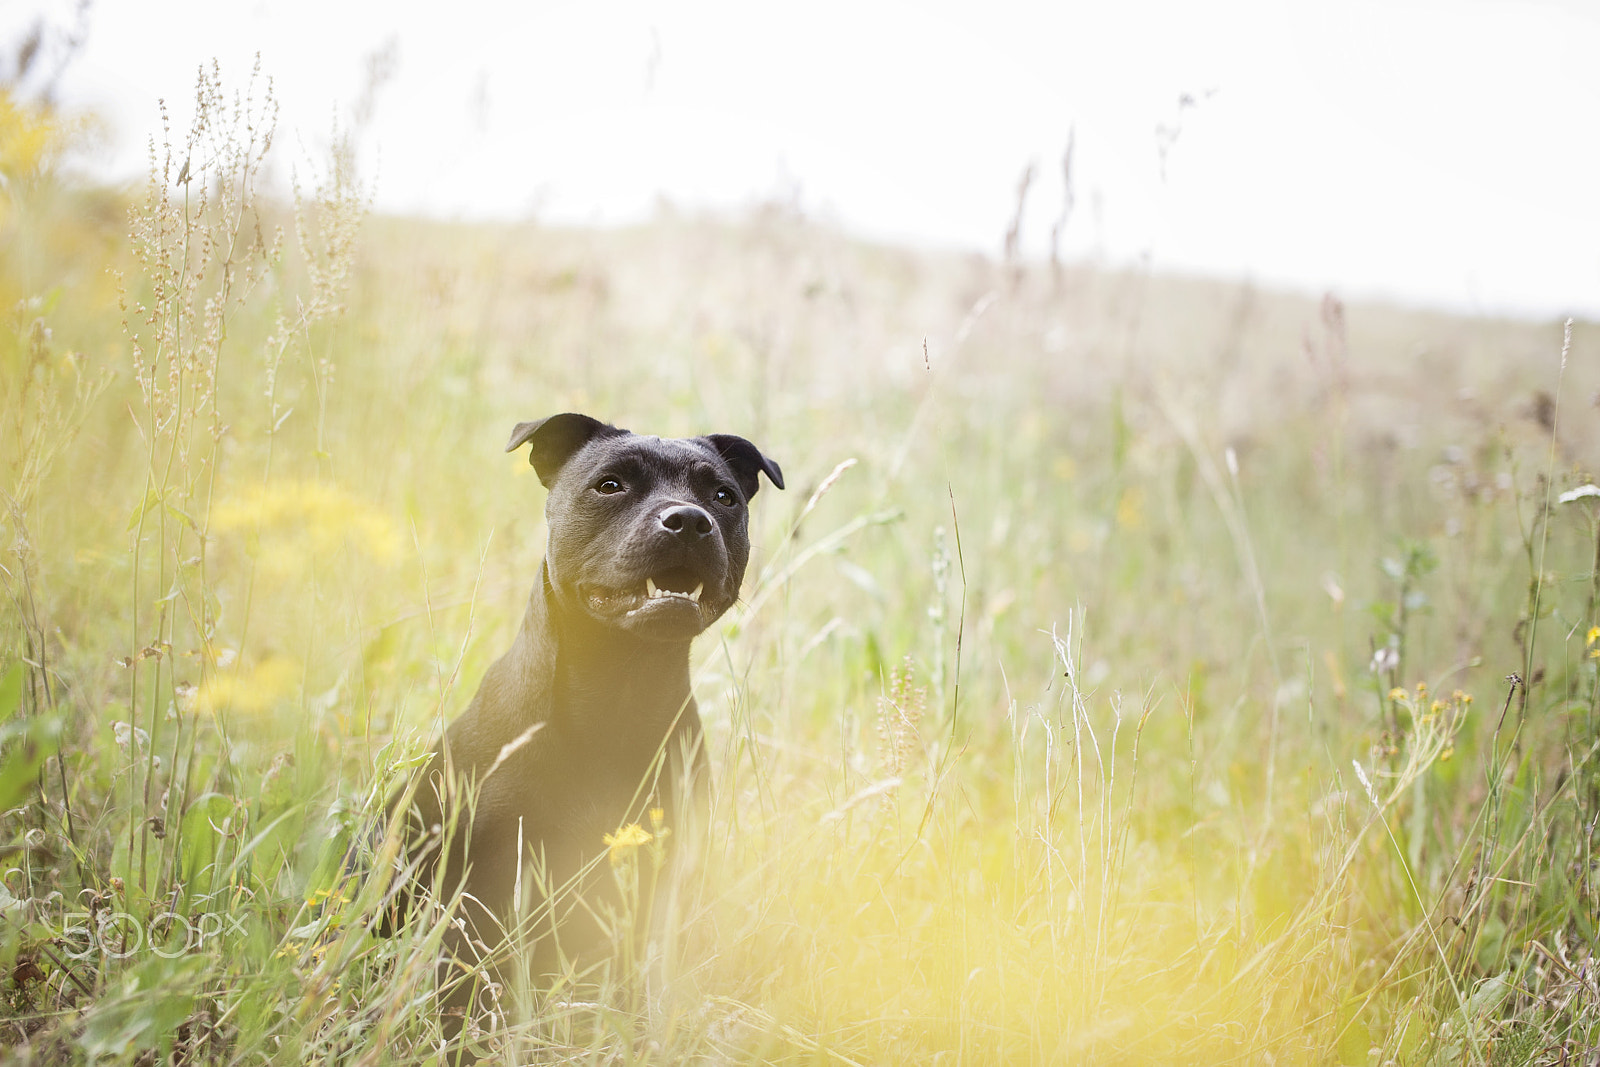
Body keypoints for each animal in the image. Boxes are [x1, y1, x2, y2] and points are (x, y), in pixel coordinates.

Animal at [377, 415, 784, 1043]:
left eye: (723, 497)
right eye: (610, 485)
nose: (689, 520)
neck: (620, 689)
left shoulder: (659, 874)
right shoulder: (487, 878)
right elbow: (470, 982)